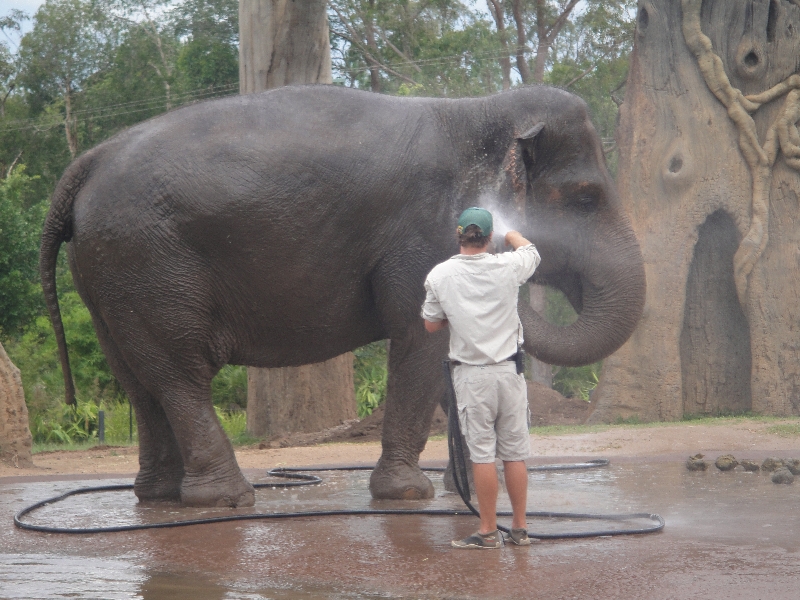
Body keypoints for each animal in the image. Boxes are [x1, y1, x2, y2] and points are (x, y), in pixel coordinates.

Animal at [40, 84, 648, 506]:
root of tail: (87, 161)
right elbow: (418, 338)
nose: (511, 241)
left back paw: (159, 497)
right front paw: (410, 495)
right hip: (148, 262)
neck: (478, 110)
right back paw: (226, 499)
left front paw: (466, 492)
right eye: (586, 199)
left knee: (138, 378)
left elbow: (441, 356)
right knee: (178, 373)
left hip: (109, 272)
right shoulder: (422, 234)